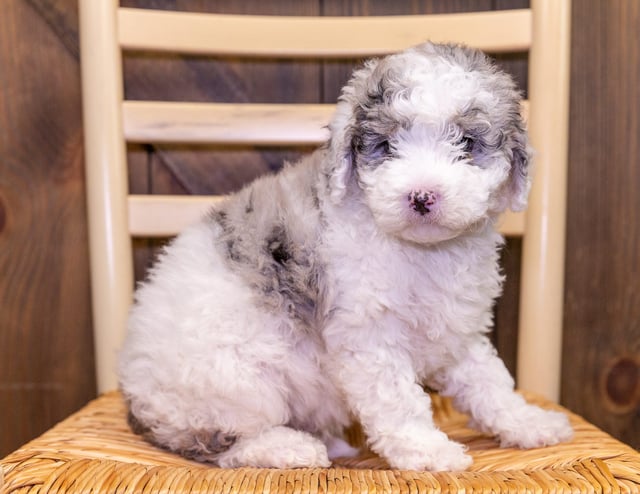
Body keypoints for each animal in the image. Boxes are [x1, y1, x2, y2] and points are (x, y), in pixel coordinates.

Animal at [120, 42, 576, 470]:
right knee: (223, 442)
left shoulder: (456, 333)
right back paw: (289, 447)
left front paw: (529, 422)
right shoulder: (369, 337)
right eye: (387, 146)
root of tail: (134, 395)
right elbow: (398, 401)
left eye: (466, 143)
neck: (421, 250)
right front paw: (427, 451)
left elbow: (489, 382)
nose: (421, 196)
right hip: (233, 382)